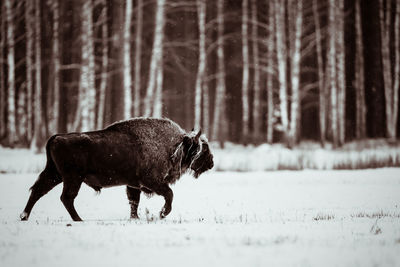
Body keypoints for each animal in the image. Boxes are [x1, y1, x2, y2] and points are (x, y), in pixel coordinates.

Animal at [20, 118, 214, 222]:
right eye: (201, 148)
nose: (211, 163)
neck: (172, 145)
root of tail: (56, 137)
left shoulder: (134, 185)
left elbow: (134, 202)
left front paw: (135, 218)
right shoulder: (152, 182)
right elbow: (169, 194)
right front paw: (162, 213)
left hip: (55, 175)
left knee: (38, 191)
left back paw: (24, 216)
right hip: (72, 178)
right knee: (66, 198)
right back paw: (79, 220)